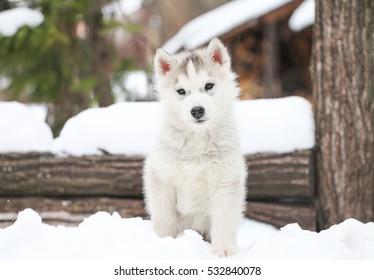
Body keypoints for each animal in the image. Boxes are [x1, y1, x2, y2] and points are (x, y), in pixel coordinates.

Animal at [142, 38, 245, 258]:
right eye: (181, 91)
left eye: (209, 86)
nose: (197, 110)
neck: (197, 141)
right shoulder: (161, 179)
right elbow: (165, 219)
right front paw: (163, 242)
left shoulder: (226, 183)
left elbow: (224, 222)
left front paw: (224, 250)